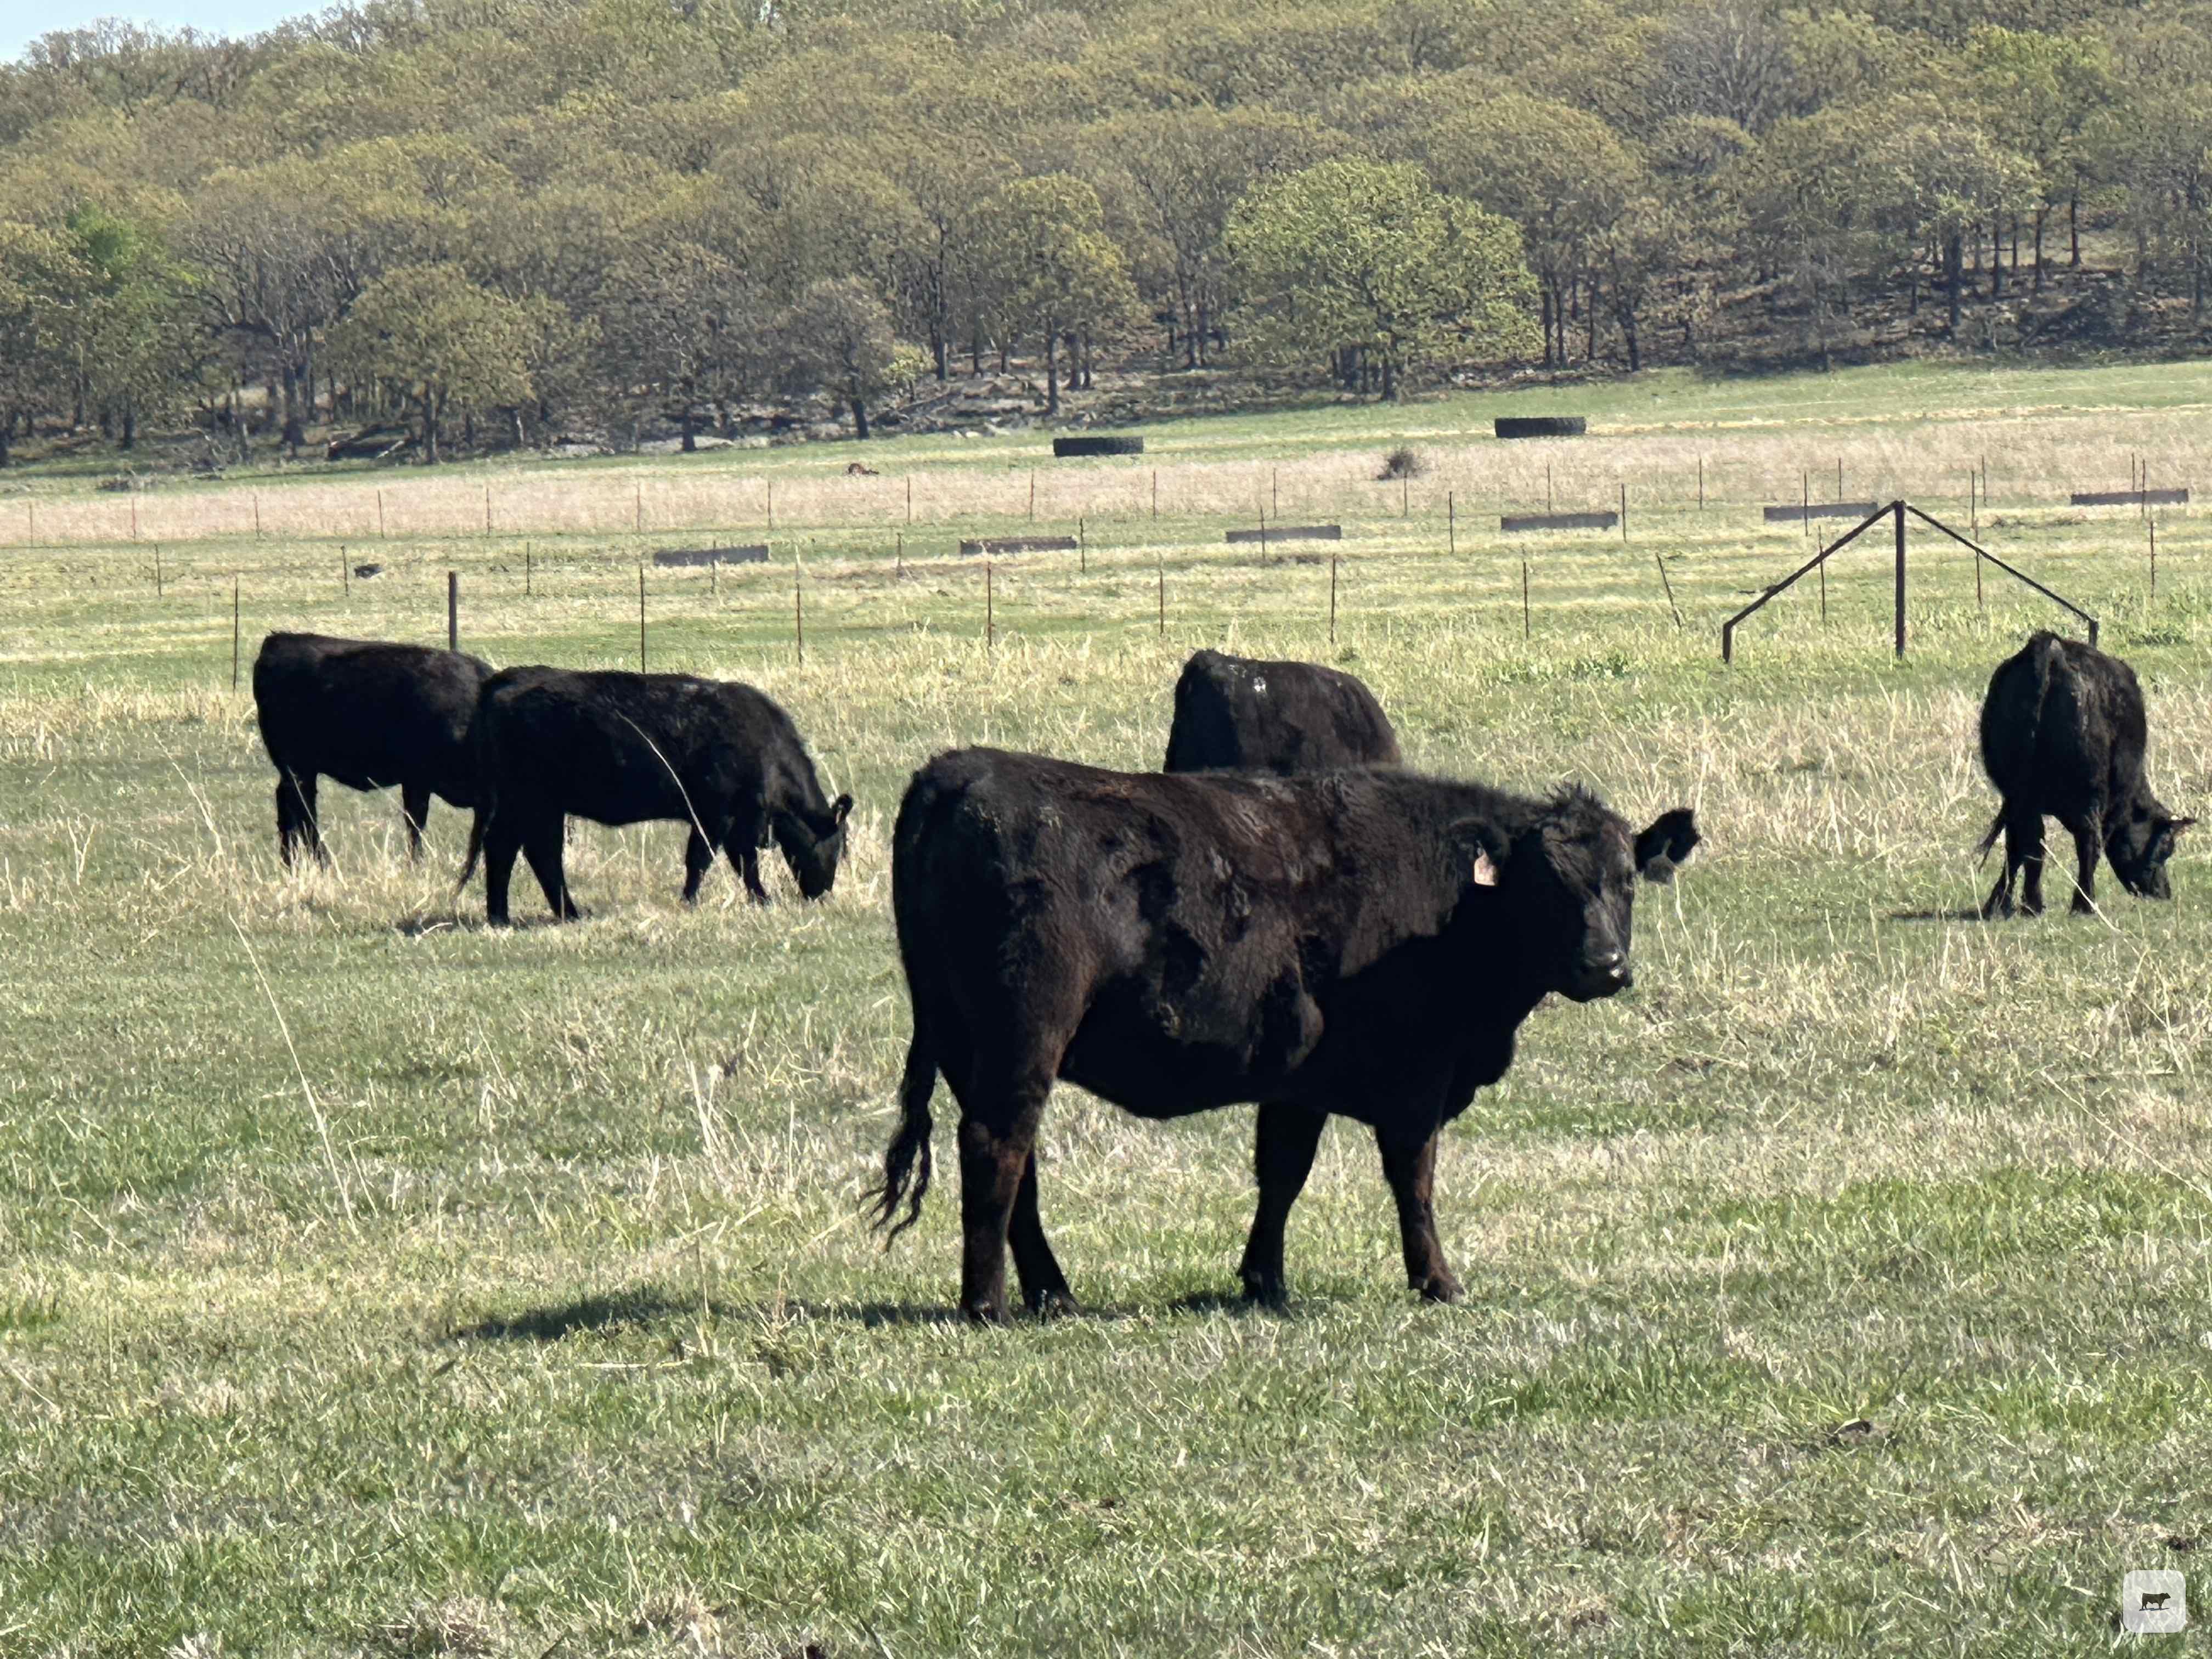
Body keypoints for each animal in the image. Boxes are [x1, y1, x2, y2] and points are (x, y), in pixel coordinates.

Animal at [251, 632, 491, 867]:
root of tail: (276, 641)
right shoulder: (417, 781)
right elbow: (416, 826)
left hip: (298, 772)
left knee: (290, 809)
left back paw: (291, 862)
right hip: (299, 770)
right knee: (303, 812)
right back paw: (322, 862)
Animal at [458, 667, 851, 925]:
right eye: (838, 848)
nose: (823, 894)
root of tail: (508, 678)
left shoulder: (737, 821)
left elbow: (744, 864)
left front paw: (759, 899)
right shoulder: (716, 815)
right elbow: (705, 860)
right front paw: (691, 901)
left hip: (535, 805)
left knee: (522, 851)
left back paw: (517, 914)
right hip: (530, 801)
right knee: (528, 852)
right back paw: (535, 915)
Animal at [868, 749, 1699, 1321]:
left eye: (1625, 880)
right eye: (1546, 887)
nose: (1605, 965)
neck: (1454, 900)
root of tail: (959, 769)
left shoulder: (1300, 1079)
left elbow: (1283, 1175)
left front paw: (1264, 1281)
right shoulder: (1417, 1075)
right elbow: (1414, 1179)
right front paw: (1438, 1281)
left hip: (969, 1046)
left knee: (1020, 1165)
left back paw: (1054, 1295)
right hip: (1024, 1039)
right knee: (997, 1148)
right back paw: (989, 1305)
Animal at [1977, 631, 2193, 917]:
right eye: (2165, 849)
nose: (2163, 892)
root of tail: (2052, 650)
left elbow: (2018, 849)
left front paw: (1999, 902)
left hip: (2018, 793)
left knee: (2028, 842)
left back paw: (2028, 903)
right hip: (2089, 792)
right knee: (2087, 842)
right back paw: (2084, 903)